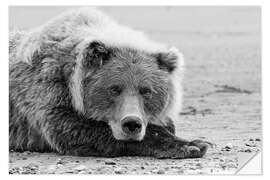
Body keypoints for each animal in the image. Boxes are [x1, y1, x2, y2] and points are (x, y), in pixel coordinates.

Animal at [8, 7, 209, 158]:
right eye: (114, 89)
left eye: (146, 90)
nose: (132, 123)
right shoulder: (47, 90)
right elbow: (73, 129)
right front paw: (192, 145)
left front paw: (194, 140)